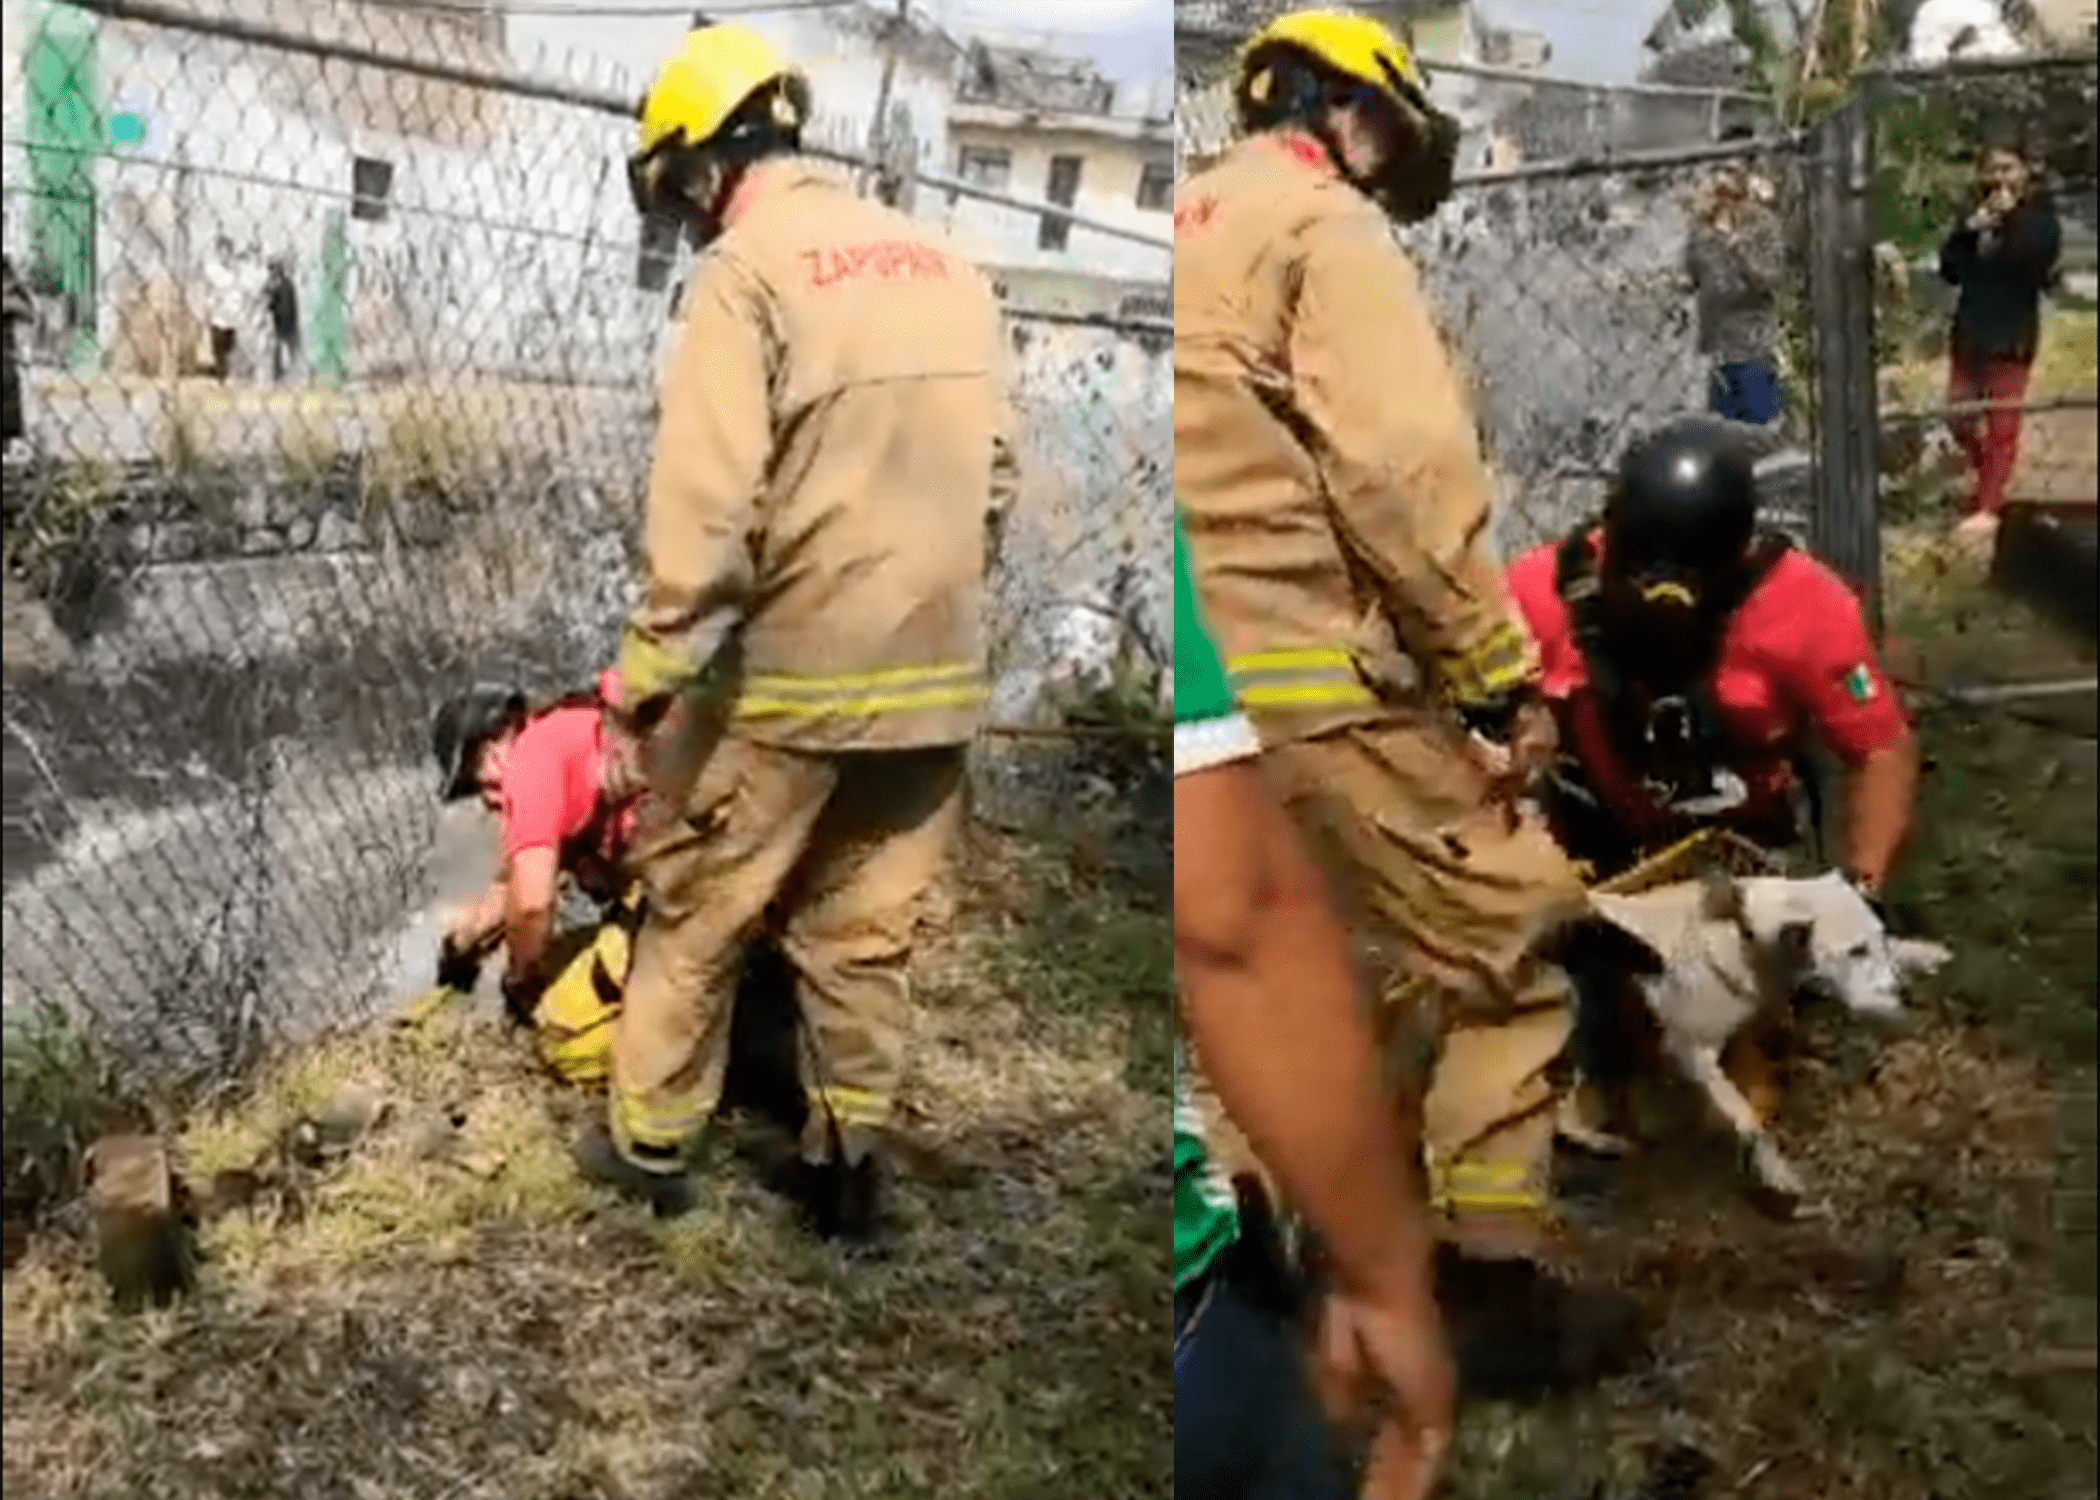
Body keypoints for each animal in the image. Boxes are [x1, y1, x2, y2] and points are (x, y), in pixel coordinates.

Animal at [1579, 869, 1948, 1210]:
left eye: (1880, 937)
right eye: (1855, 951)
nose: (1904, 993)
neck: (1743, 940)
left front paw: (1922, 953)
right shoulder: (1691, 1051)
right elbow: (1747, 1117)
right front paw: (1775, 1169)